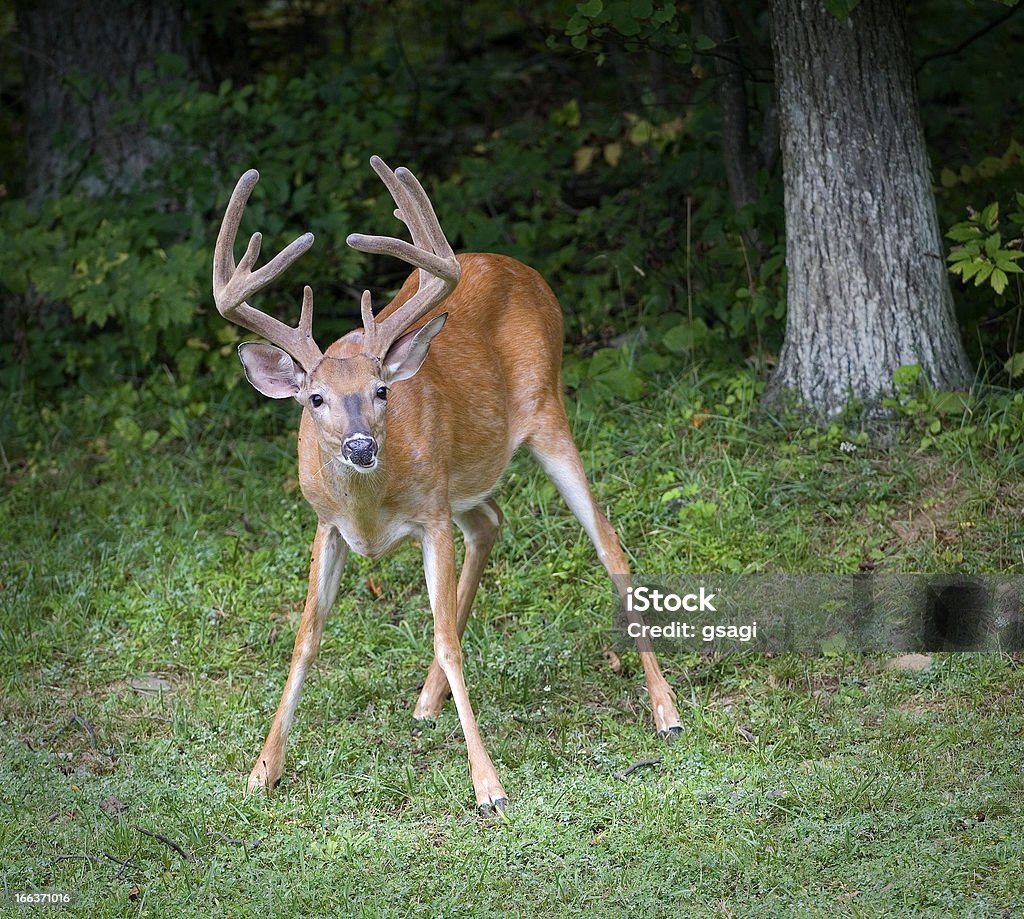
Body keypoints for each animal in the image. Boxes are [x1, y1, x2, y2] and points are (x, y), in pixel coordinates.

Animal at [211, 155, 684, 811]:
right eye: (315, 398)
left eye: (382, 391)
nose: (361, 447)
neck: (370, 513)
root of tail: (526, 270)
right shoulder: (325, 523)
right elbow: (306, 637)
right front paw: (262, 770)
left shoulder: (430, 515)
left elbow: (444, 638)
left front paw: (489, 785)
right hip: (465, 477)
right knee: (491, 520)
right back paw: (426, 701)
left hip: (548, 413)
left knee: (609, 543)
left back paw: (666, 711)